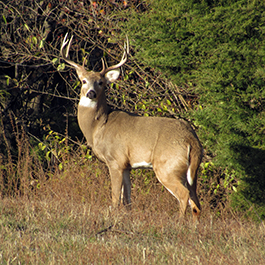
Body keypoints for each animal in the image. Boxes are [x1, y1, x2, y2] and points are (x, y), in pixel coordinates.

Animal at [60, 34, 202, 222]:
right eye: (83, 81)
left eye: (101, 82)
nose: (91, 93)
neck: (98, 127)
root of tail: (191, 140)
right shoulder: (127, 166)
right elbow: (127, 200)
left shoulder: (115, 160)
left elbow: (115, 198)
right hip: (192, 171)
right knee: (196, 202)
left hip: (167, 166)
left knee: (184, 195)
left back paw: (178, 222)